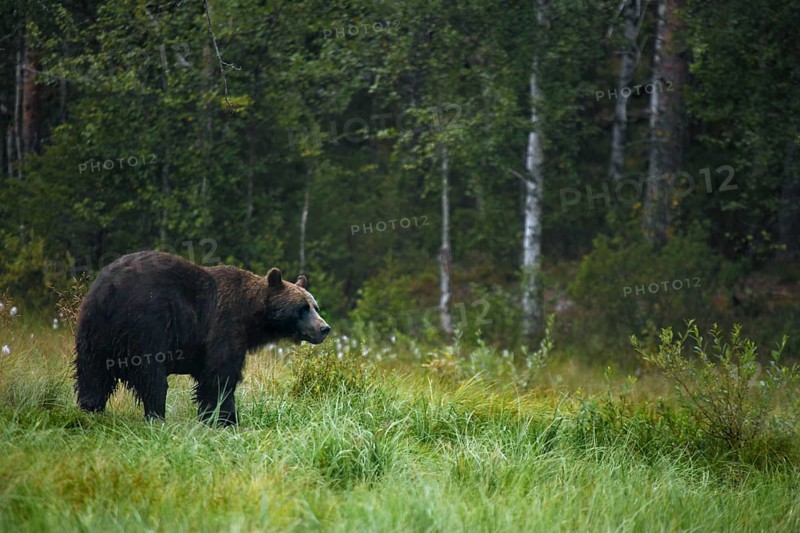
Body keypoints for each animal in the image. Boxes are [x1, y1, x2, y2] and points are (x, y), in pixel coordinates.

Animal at [74, 250, 330, 425]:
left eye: (315, 306)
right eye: (303, 308)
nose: (324, 328)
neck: (252, 316)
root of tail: (111, 288)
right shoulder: (224, 324)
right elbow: (220, 374)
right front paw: (226, 419)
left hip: (93, 329)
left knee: (92, 374)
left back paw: (90, 409)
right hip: (147, 323)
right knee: (151, 376)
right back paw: (157, 416)